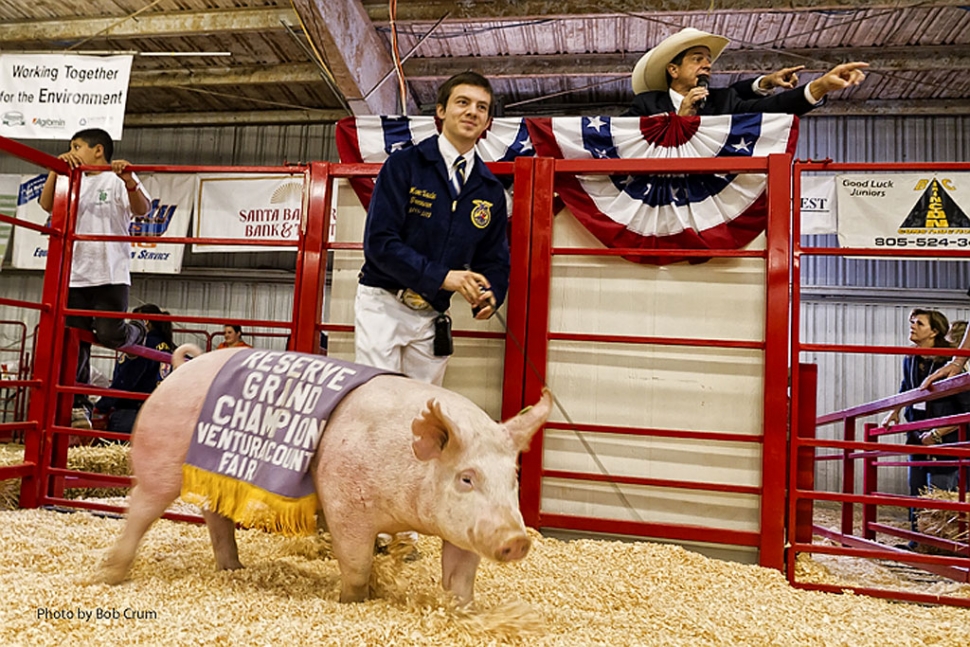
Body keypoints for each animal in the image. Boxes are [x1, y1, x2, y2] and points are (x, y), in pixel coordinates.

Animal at [103, 346, 552, 604]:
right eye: (466, 478)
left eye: (513, 477)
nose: (516, 539)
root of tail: (181, 368)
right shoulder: (346, 504)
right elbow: (355, 562)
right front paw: (354, 601)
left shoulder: (461, 528)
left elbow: (460, 573)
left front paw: (462, 611)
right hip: (160, 457)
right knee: (142, 508)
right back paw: (110, 574)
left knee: (216, 516)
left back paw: (233, 568)